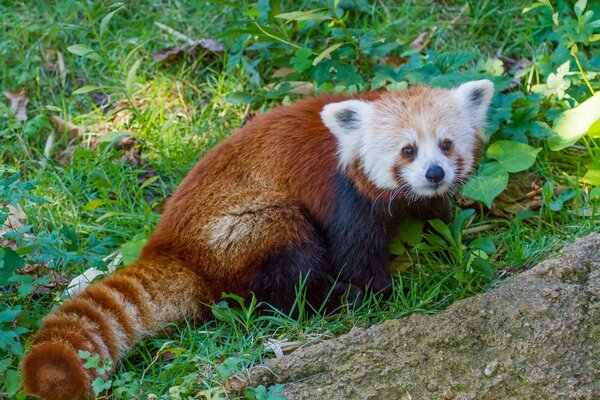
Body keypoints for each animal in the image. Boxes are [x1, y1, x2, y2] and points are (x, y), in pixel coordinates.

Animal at [22, 79, 492, 398]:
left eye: (446, 145)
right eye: (408, 150)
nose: (435, 173)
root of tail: (171, 247)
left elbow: (435, 220)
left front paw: (453, 250)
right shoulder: (344, 196)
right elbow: (355, 254)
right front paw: (387, 291)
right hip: (251, 225)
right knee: (279, 280)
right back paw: (334, 298)